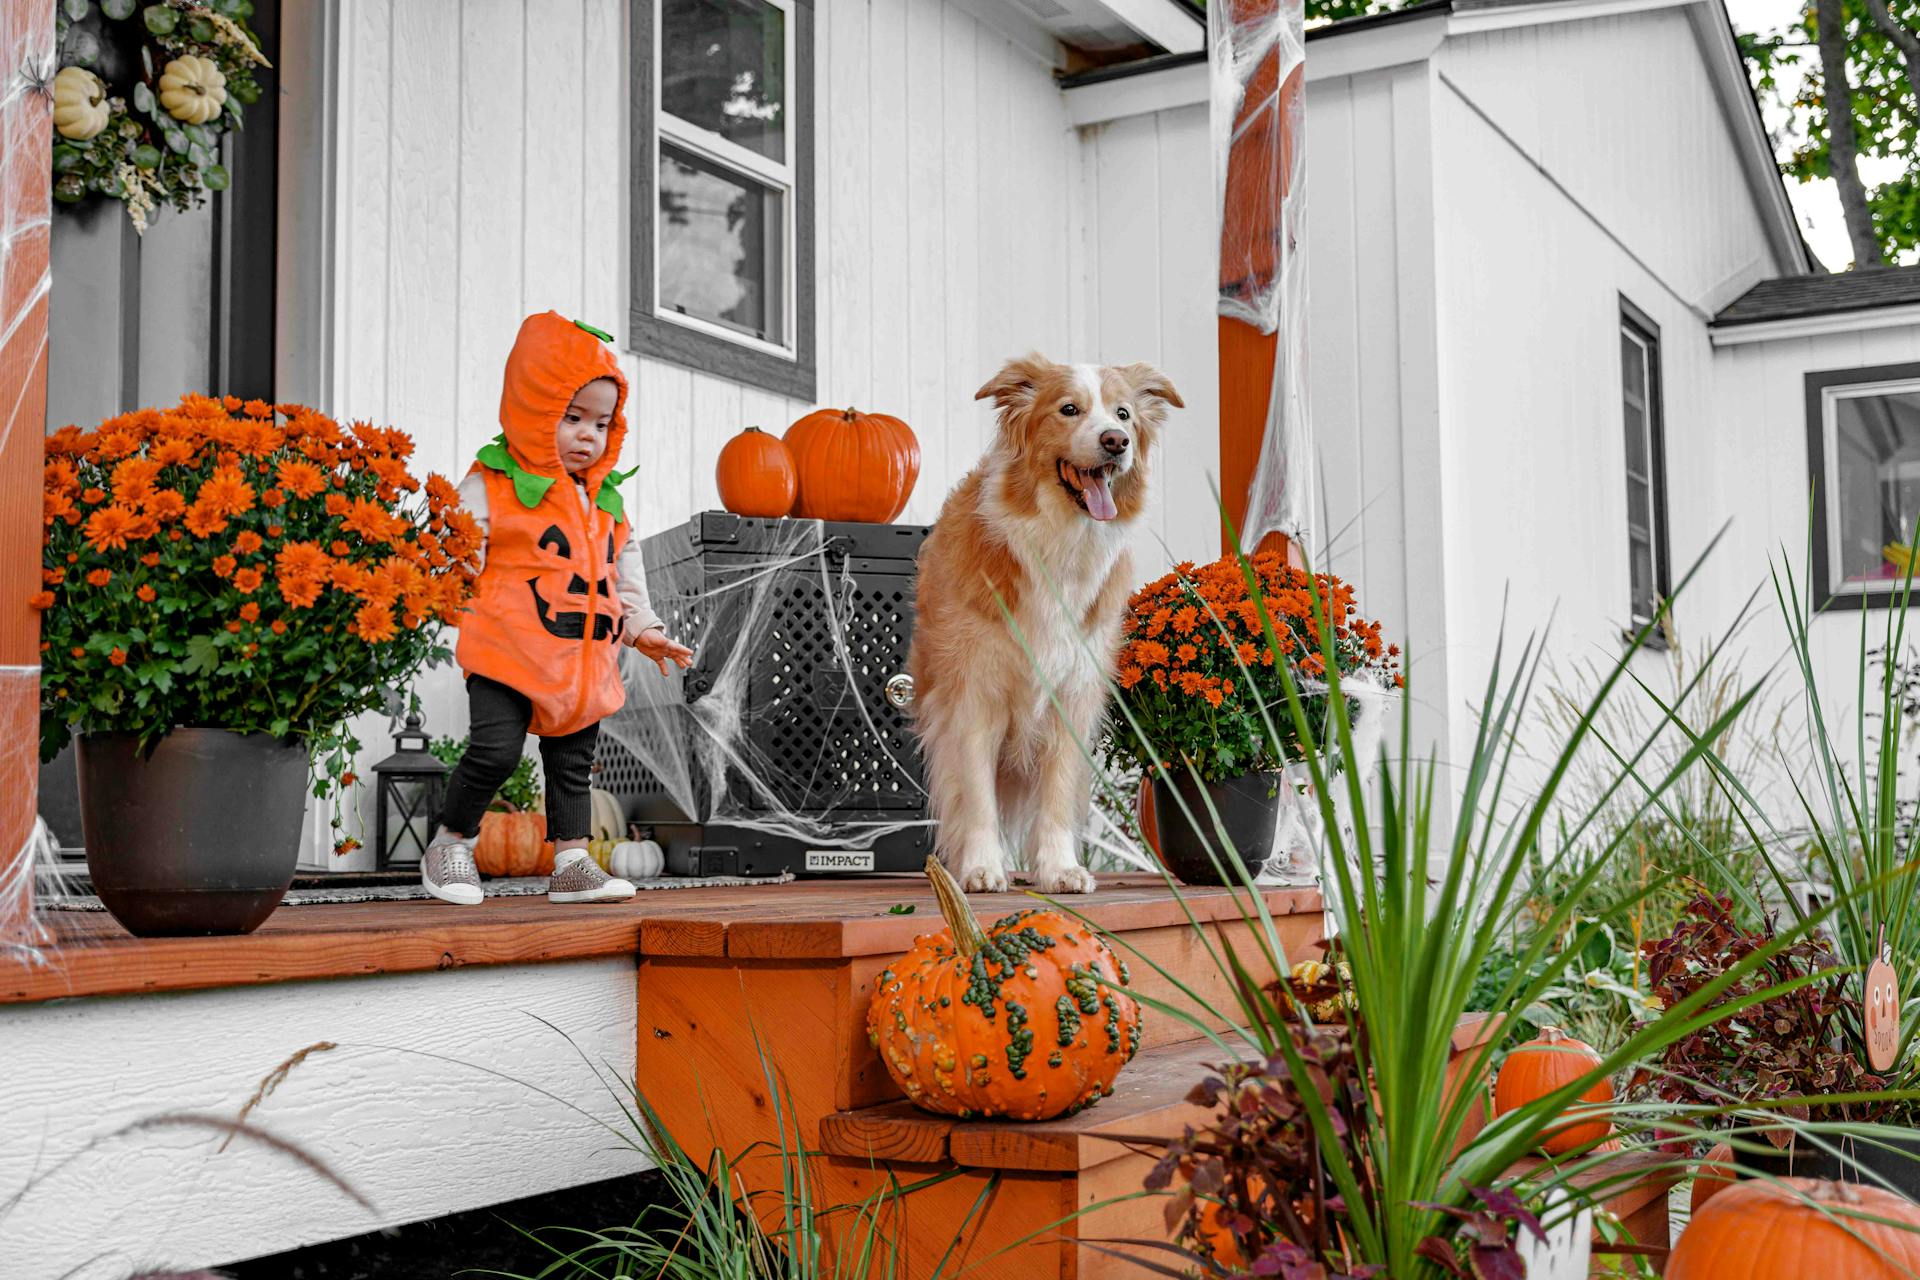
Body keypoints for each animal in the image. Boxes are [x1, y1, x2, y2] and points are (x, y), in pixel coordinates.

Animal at [906, 351, 1175, 890]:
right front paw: (982, 867)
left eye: (1123, 415)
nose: (1116, 442)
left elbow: (1056, 792)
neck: (1061, 543)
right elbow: (976, 792)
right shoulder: (974, 693)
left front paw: (1059, 868)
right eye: (1069, 409)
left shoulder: (1073, 694)